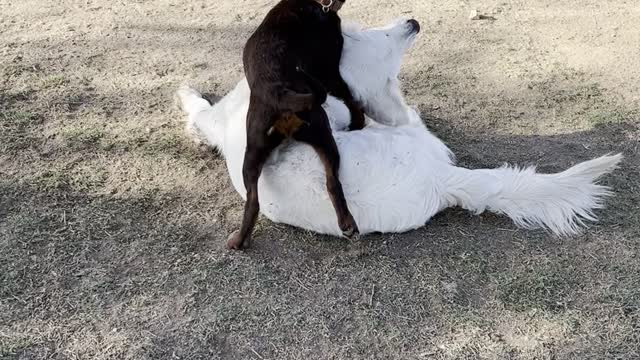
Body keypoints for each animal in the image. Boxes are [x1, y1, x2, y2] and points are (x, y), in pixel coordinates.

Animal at [175, 18, 620, 238]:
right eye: (376, 32)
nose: (411, 20)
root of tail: (442, 179)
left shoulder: (216, 118)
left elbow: (198, 108)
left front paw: (185, 93)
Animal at [228, 0, 362, 249]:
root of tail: (277, 90)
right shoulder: (331, 73)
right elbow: (353, 99)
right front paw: (359, 122)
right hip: (322, 129)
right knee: (333, 182)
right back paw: (347, 224)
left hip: (252, 152)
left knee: (253, 202)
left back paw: (240, 240)